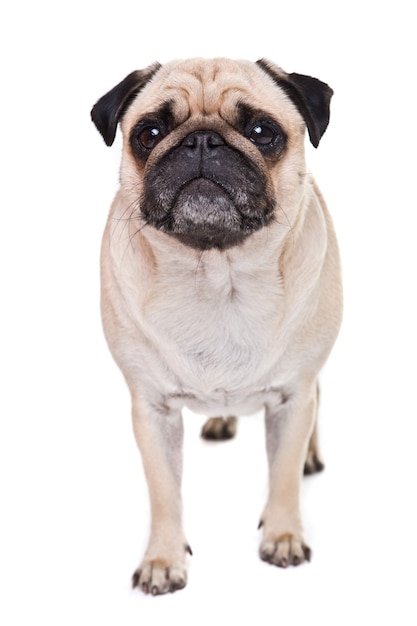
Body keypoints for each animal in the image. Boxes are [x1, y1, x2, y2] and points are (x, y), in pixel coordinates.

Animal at [90, 58, 342, 596]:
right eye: (149, 133)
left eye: (262, 132)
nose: (202, 140)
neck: (217, 272)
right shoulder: (152, 411)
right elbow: (164, 493)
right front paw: (163, 560)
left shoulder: (292, 397)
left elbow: (284, 476)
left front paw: (283, 536)